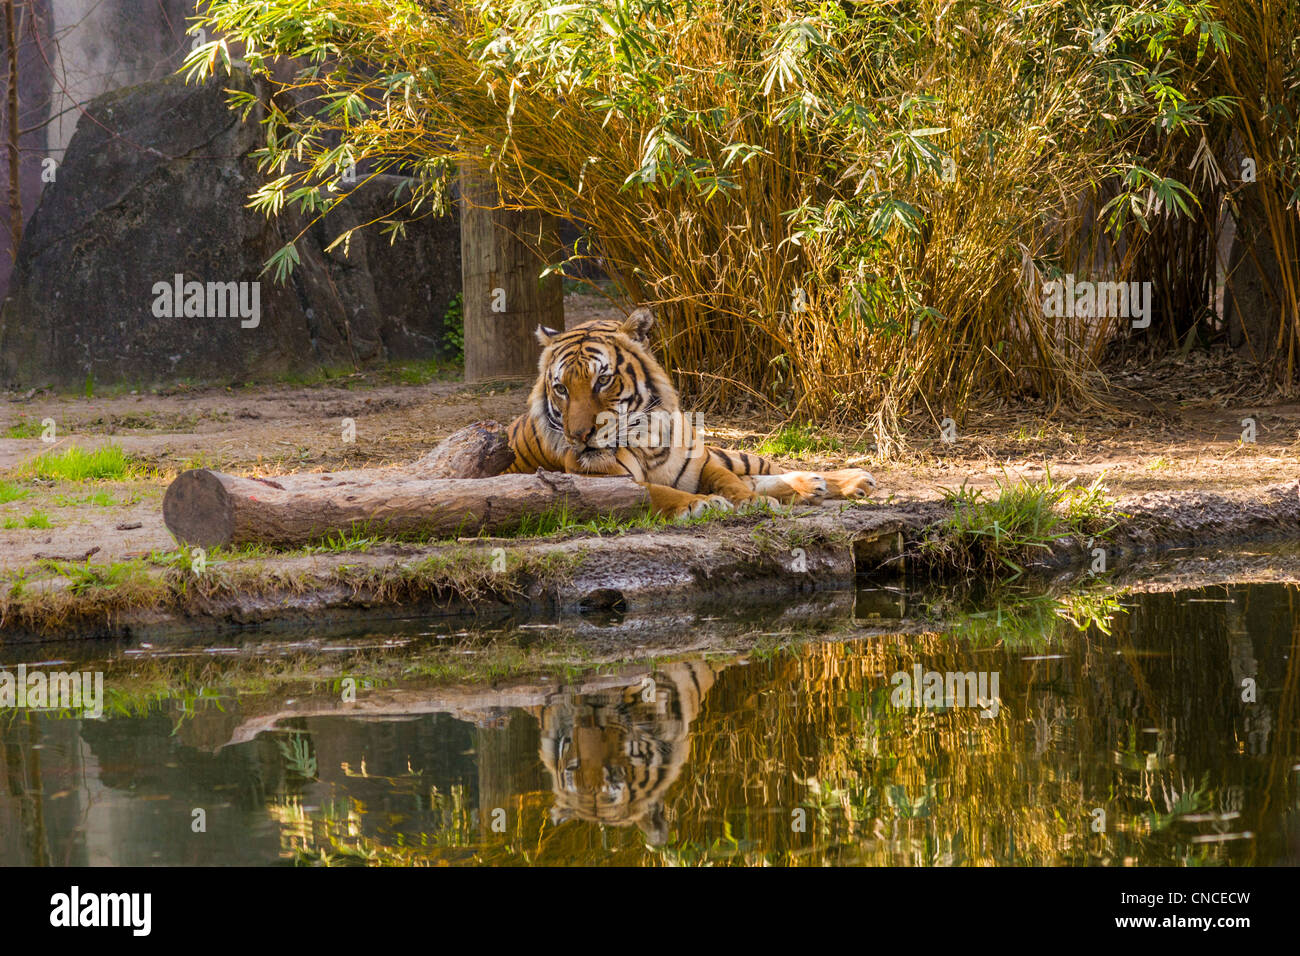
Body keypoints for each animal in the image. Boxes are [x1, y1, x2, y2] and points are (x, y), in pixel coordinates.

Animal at [501, 308, 878, 520]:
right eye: (561, 388)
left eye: (603, 380)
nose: (578, 437)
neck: (646, 439)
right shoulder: (601, 480)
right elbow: (656, 491)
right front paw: (702, 504)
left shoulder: (700, 463)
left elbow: (730, 481)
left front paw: (749, 502)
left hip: (725, 451)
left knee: (763, 469)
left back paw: (846, 480)